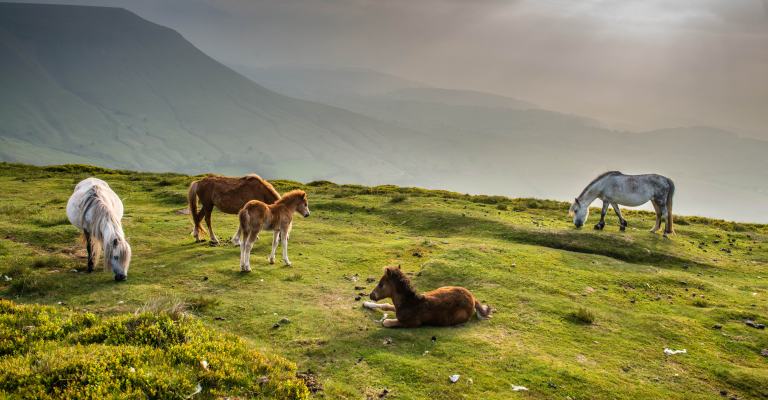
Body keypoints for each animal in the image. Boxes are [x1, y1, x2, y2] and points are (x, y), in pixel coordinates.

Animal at [363, 266, 492, 328]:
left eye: (381, 284)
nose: (371, 295)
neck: (410, 303)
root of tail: (473, 298)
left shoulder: (412, 323)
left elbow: (386, 322)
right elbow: (386, 305)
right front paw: (366, 304)